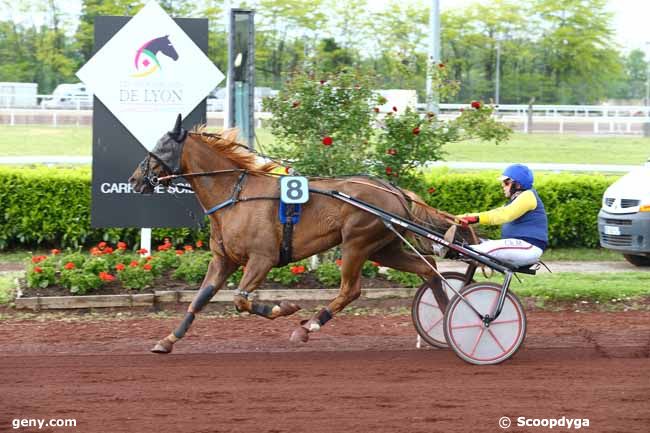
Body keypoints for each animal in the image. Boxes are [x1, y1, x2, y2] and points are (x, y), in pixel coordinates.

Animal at [128, 116, 470, 352]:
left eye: (160, 147)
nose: (134, 180)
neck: (236, 195)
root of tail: (395, 191)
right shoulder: (223, 260)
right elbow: (199, 300)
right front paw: (167, 340)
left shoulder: (262, 258)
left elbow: (241, 300)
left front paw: (286, 308)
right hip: (383, 248)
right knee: (429, 269)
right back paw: (448, 319)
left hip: (357, 243)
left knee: (351, 290)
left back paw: (309, 326)